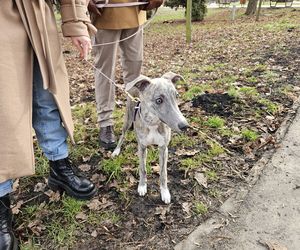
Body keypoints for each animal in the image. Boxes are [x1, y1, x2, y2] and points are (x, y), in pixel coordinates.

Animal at [111, 72, 189, 203]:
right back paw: (116, 150)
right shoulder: (141, 147)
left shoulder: (163, 148)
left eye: (177, 96)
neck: (153, 123)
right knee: (122, 135)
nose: (185, 126)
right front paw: (142, 186)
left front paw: (164, 192)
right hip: (127, 119)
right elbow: (142, 169)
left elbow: (163, 173)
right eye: (159, 100)